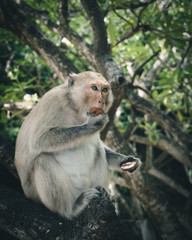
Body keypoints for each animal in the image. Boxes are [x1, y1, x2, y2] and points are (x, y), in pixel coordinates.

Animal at [14, 71, 141, 219]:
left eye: (105, 90)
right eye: (94, 88)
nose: (102, 101)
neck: (75, 107)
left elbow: (99, 144)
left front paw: (126, 160)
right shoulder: (53, 101)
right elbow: (38, 141)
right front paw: (93, 124)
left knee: (99, 150)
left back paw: (103, 192)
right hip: (39, 194)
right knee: (43, 159)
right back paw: (70, 209)